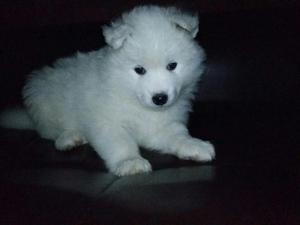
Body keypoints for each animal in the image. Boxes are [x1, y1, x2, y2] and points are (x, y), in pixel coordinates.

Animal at [1, 4, 214, 176]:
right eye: (139, 70)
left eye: (172, 66)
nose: (160, 98)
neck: (132, 97)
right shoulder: (106, 122)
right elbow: (119, 142)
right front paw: (130, 162)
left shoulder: (162, 125)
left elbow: (177, 134)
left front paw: (194, 145)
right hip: (42, 99)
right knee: (48, 131)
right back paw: (68, 138)